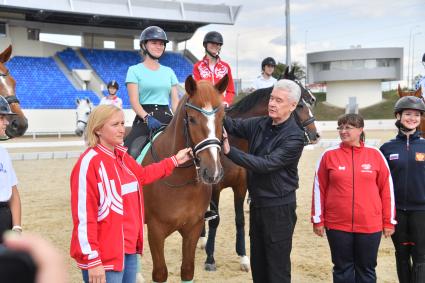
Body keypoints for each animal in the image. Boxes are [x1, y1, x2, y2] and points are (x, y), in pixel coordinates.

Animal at [142, 75, 229, 282]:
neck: (179, 177)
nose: (212, 172)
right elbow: (160, 273)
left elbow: (187, 269)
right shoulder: (155, 231)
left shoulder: (193, 229)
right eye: (192, 119)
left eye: (223, 118)